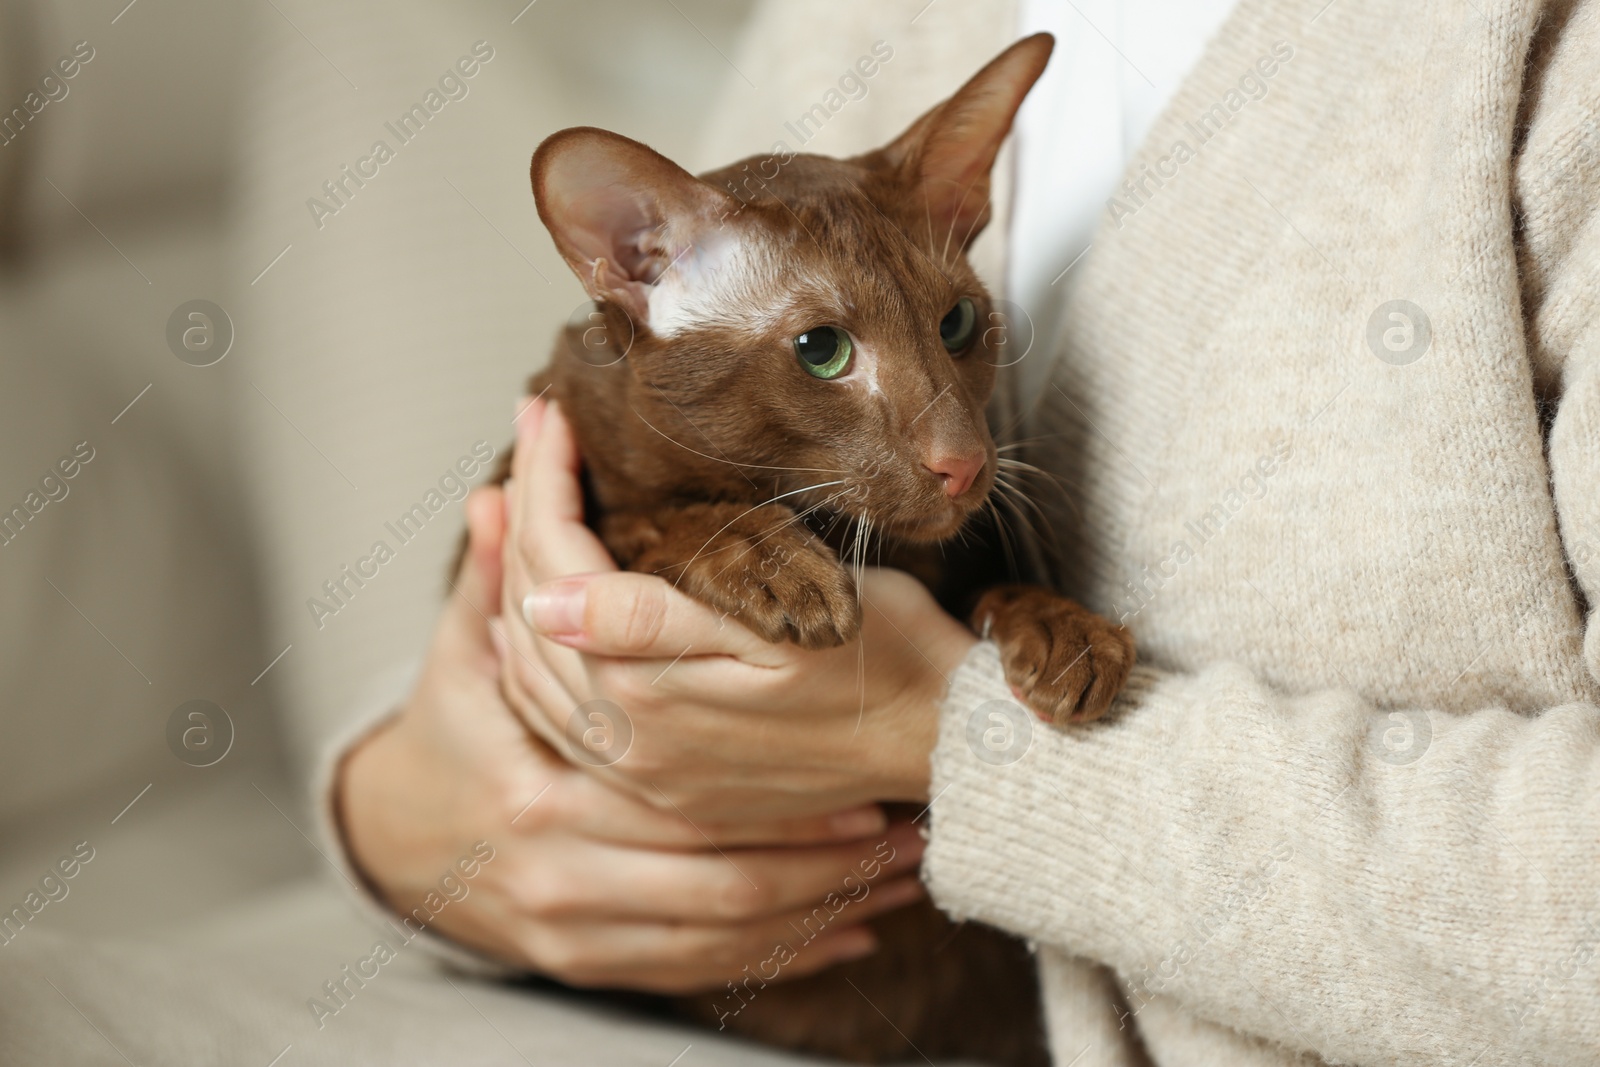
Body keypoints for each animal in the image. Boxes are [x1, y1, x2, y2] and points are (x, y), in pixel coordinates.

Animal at [470, 35, 1126, 1067]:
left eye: (957, 324)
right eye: (822, 350)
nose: (965, 464)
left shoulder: (971, 543)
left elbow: (1001, 580)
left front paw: (1073, 637)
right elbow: (656, 517)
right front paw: (770, 562)